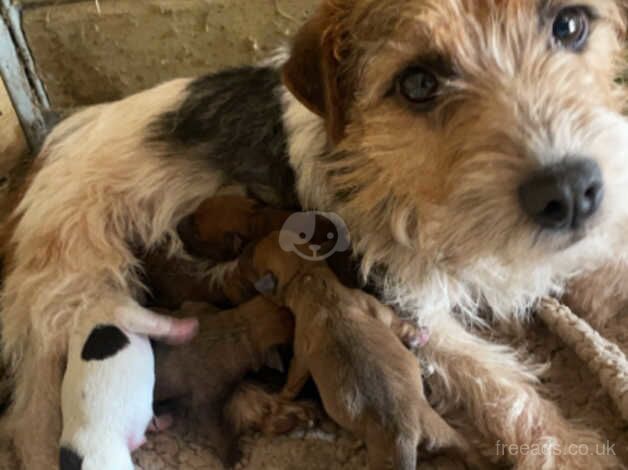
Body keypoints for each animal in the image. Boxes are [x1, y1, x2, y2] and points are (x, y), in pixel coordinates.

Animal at [245, 232, 480, 470]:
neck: (313, 282)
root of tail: (403, 435)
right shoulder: (373, 306)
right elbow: (397, 323)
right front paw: (418, 334)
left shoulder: (301, 353)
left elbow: (294, 378)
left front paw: (281, 396)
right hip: (439, 430)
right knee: (465, 447)